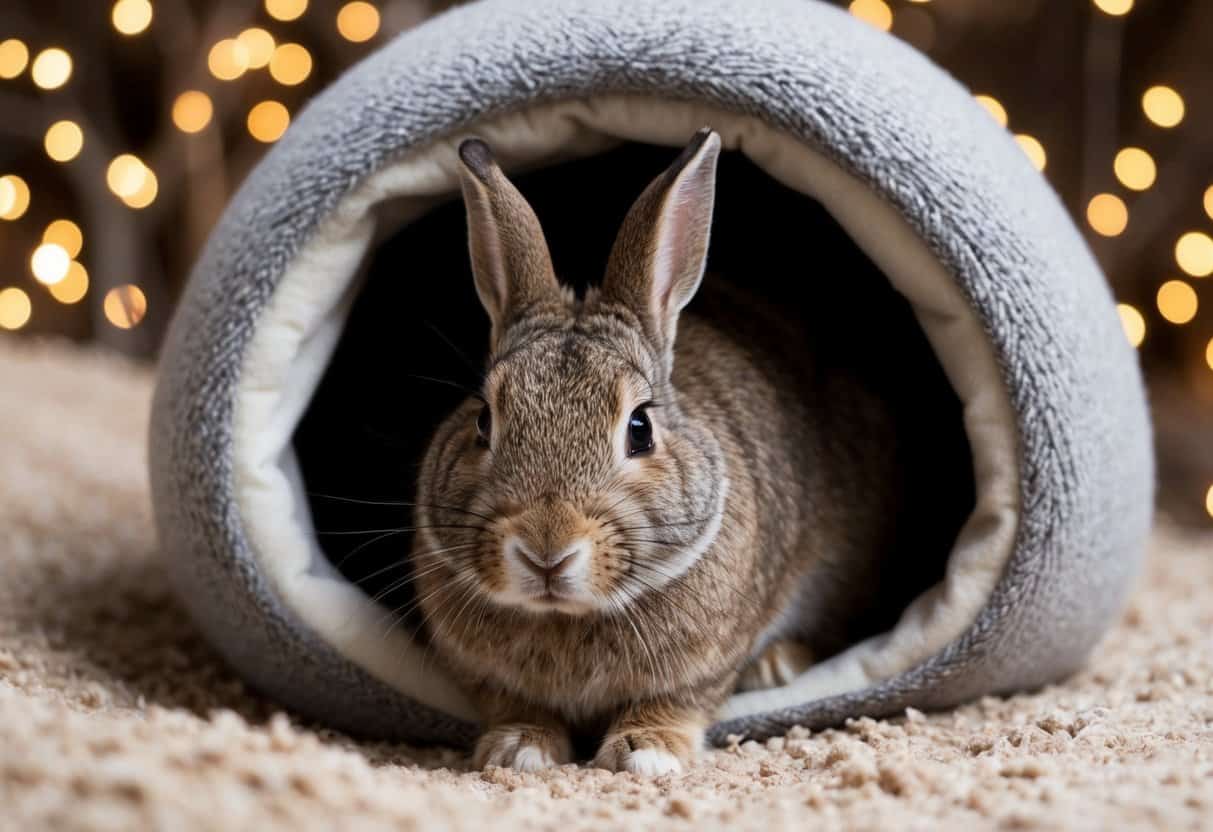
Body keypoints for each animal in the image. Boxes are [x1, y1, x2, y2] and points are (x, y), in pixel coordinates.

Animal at [409, 128, 903, 775]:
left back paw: (777, 665)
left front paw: (646, 751)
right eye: (484, 422)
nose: (547, 551)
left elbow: (679, 699)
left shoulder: (707, 662)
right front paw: (519, 747)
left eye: (639, 428)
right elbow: (512, 703)